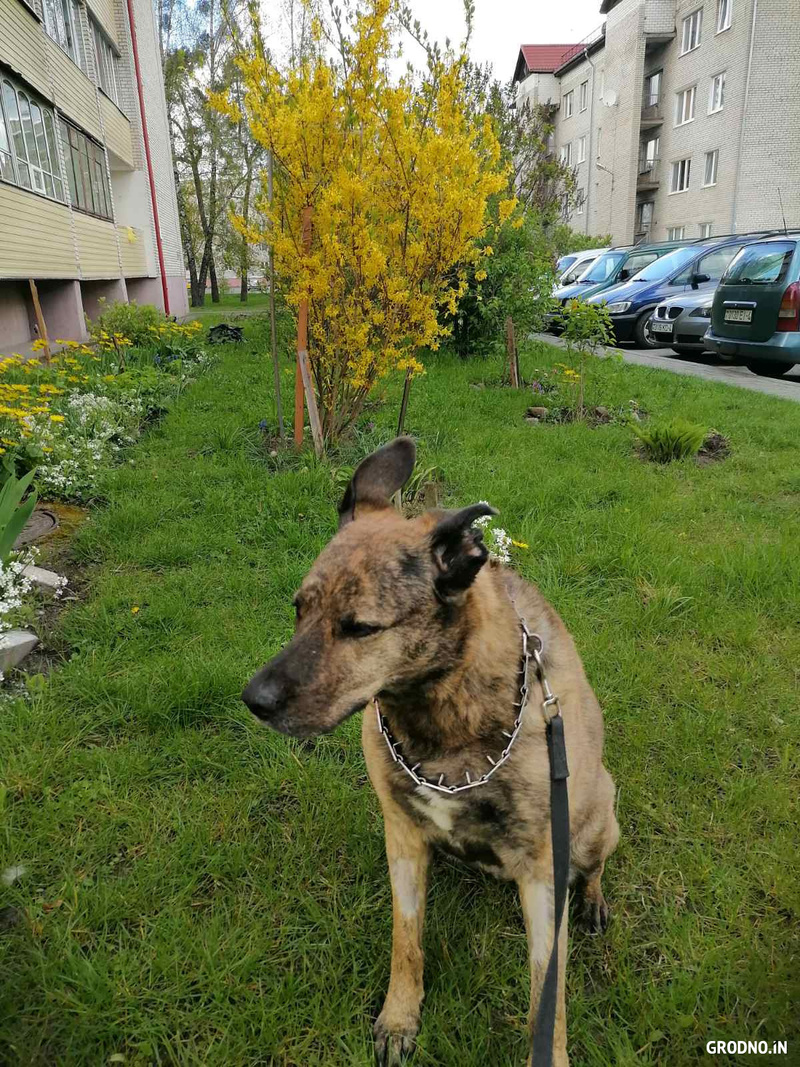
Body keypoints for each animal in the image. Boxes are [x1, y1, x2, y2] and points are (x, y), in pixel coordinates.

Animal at [243, 437, 618, 1062]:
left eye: (360, 628)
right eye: (299, 608)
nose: (255, 701)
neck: (447, 724)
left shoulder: (543, 872)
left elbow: (547, 992)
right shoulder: (402, 834)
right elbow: (406, 940)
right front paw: (400, 1018)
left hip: (594, 820)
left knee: (592, 868)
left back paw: (591, 898)